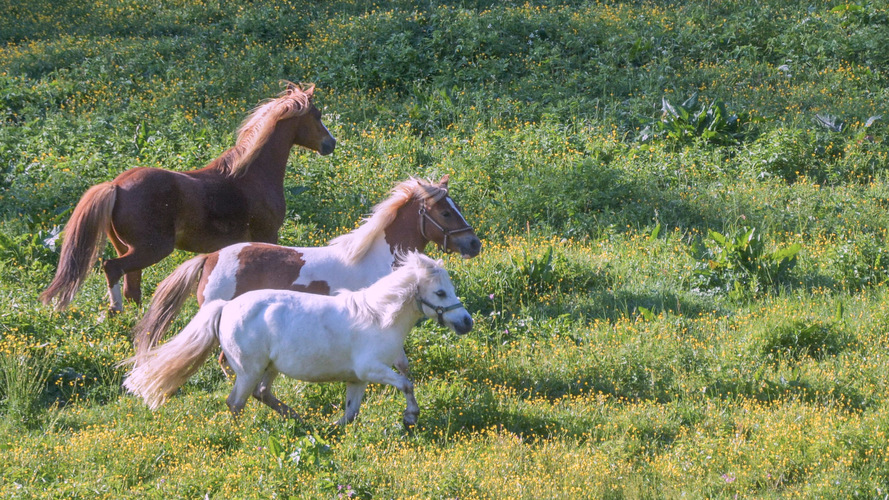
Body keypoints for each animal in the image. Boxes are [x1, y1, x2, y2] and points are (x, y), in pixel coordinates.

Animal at [38, 84, 338, 314]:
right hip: (152, 248)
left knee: (132, 286)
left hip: (130, 248)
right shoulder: (267, 235)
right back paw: (116, 310)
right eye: (317, 115)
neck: (252, 174)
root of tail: (116, 186)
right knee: (112, 269)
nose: (331, 144)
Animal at [123, 252, 478, 428]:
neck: (378, 317)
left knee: (262, 394)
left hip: (269, 368)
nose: (466, 322)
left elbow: (352, 411)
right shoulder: (371, 370)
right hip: (248, 370)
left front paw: (334, 429)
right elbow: (405, 384)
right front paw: (410, 417)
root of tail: (224, 307)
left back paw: (301, 421)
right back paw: (241, 438)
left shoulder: (357, 379)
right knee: (236, 402)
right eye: (441, 292)